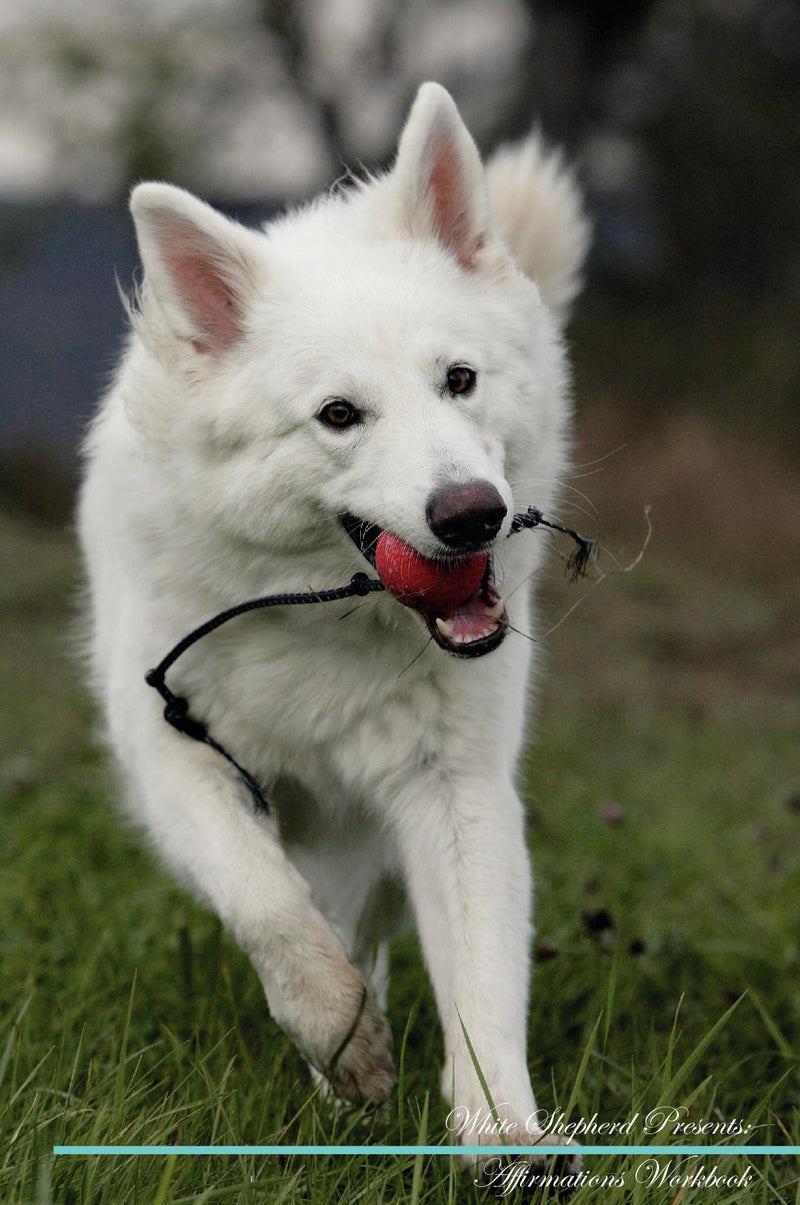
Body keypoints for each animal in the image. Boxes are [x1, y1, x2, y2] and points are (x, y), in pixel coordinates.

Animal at [78, 80, 590, 1161]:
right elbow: (269, 903)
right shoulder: (176, 756)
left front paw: (502, 1137)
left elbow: (483, 986)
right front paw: (342, 1039)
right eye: (339, 415)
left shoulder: (454, 790)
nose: (471, 513)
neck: (319, 617)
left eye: (459, 379)